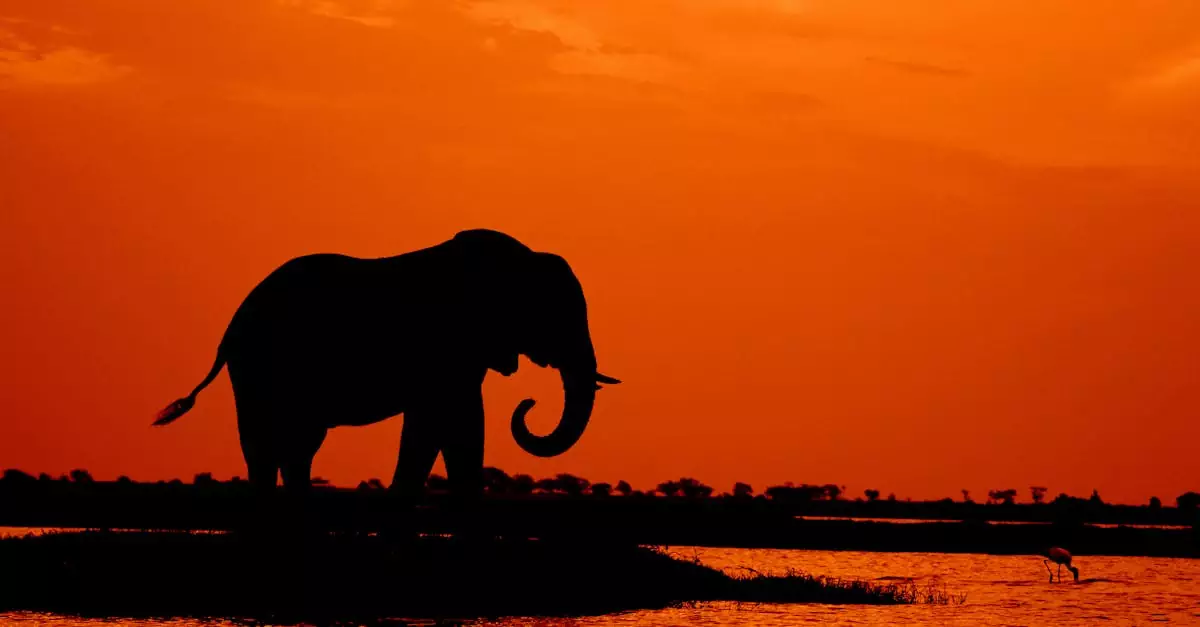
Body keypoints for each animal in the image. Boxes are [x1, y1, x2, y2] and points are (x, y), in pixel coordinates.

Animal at [154, 229, 619, 501]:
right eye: (556, 314)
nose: (528, 405)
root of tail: (231, 327)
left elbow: (445, 425)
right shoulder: (448, 344)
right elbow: (451, 420)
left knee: (296, 446)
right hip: (257, 367)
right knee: (266, 446)